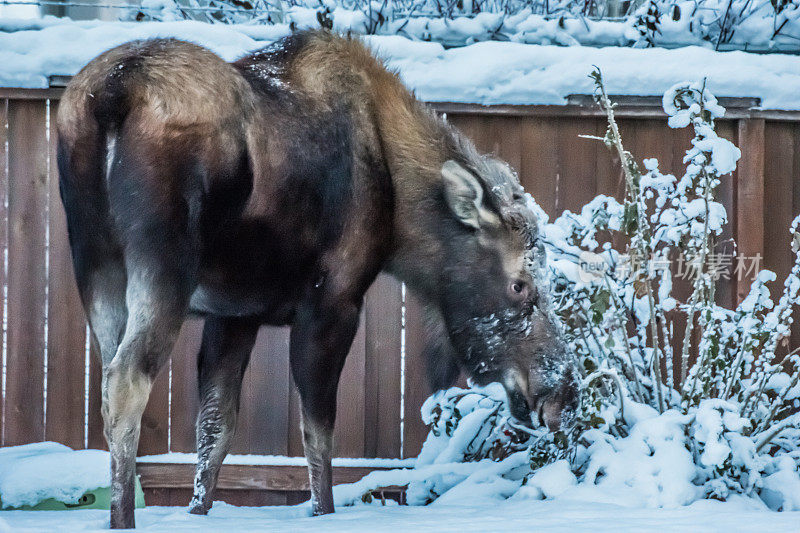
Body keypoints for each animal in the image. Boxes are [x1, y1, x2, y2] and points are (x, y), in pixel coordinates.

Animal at [57, 30, 580, 528]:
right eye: (520, 285)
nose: (561, 395)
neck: (400, 215)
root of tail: (112, 95)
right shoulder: (333, 302)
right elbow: (319, 434)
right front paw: (323, 512)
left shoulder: (235, 314)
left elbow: (215, 428)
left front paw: (198, 513)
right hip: (164, 265)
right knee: (127, 380)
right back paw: (123, 519)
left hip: (96, 265)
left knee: (107, 380)